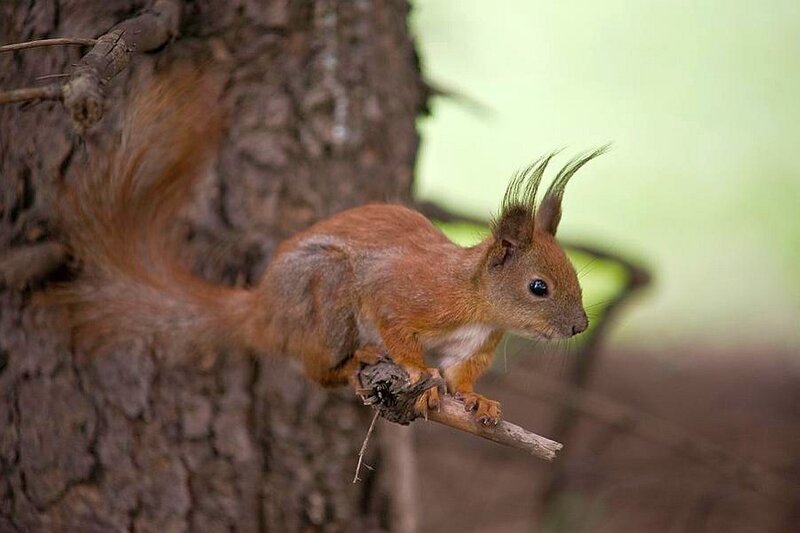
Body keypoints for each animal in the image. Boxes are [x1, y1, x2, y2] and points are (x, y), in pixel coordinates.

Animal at [56, 70, 604, 426]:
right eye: (538, 287)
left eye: (575, 277)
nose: (580, 326)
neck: (478, 304)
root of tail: (263, 312)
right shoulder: (403, 292)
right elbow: (398, 328)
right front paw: (417, 371)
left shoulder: (474, 343)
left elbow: (459, 375)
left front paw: (476, 399)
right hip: (325, 294)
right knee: (316, 370)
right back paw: (355, 358)